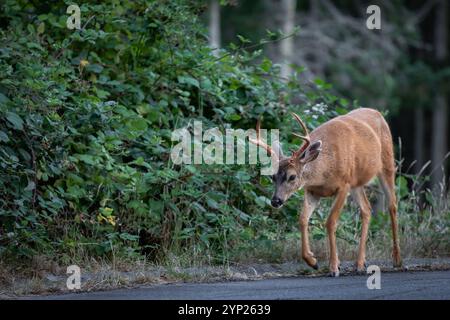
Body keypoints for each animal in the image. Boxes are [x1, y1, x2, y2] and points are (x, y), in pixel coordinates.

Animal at [251, 108, 402, 278]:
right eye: (272, 176)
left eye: (292, 176)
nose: (276, 200)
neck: (324, 171)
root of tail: (377, 112)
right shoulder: (312, 191)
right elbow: (302, 219)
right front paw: (312, 261)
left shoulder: (344, 185)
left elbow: (330, 222)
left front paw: (334, 267)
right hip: (356, 183)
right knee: (367, 209)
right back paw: (360, 263)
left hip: (387, 163)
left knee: (392, 205)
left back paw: (397, 260)